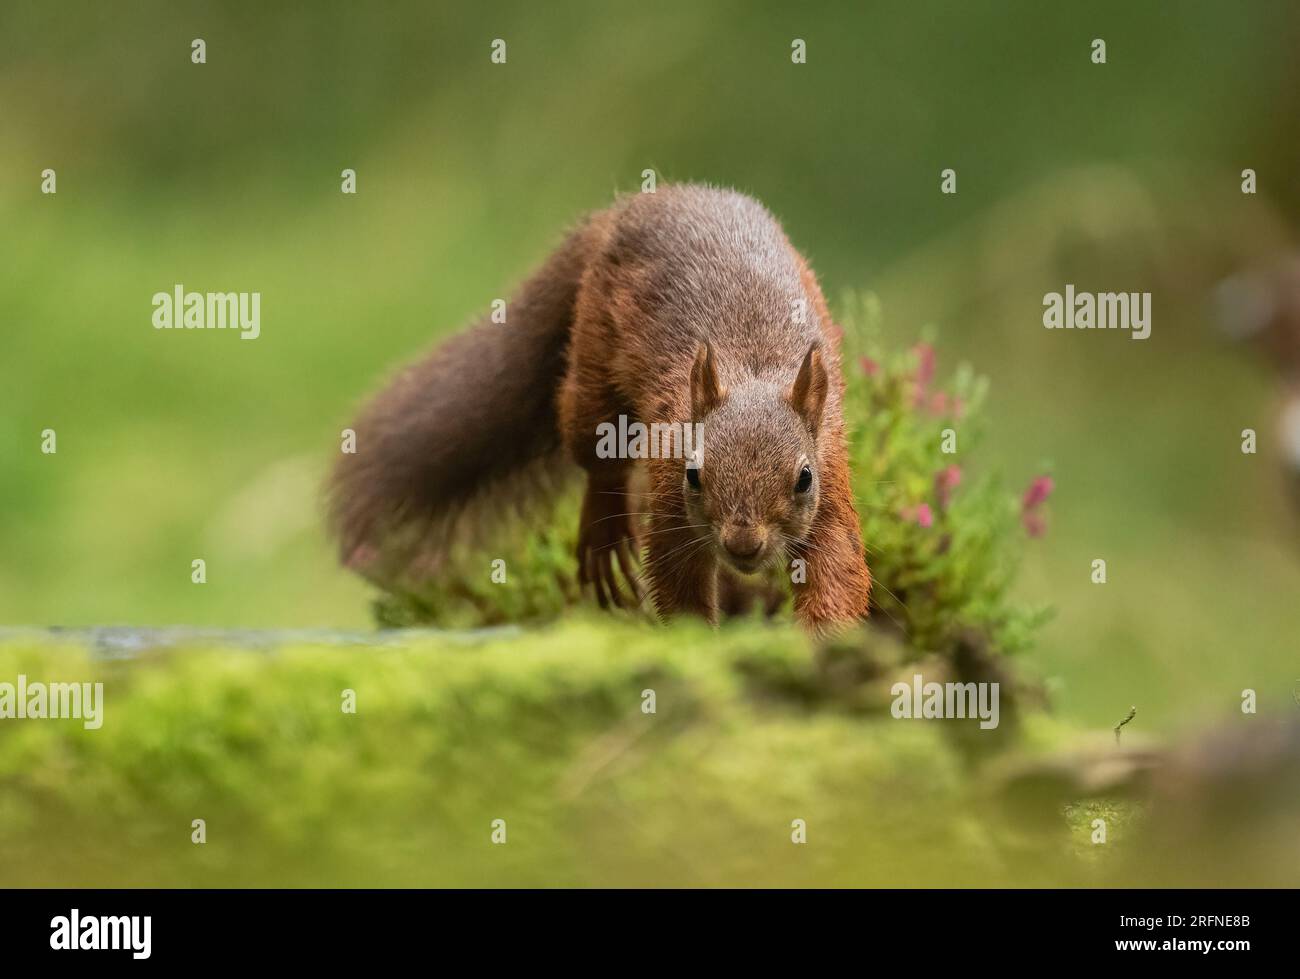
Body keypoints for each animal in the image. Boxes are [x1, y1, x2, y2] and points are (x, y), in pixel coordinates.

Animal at [330, 184, 868, 634]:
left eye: (804, 479)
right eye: (695, 475)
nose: (742, 543)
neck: (754, 367)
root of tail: (624, 209)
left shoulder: (832, 480)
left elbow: (839, 572)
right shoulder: (669, 488)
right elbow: (676, 579)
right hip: (591, 361)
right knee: (597, 456)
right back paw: (604, 528)